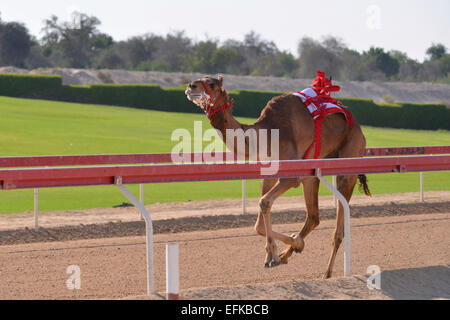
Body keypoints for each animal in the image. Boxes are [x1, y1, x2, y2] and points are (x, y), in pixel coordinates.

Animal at [185, 72, 370, 278]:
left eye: (211, 84)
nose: (191, 86)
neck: (266, 134)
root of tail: (360, 130)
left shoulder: (291, 176)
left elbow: (264, 202)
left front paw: (273, 255)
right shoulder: (270, 172)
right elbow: (258, 222)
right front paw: (285, 249)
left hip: (349, 160)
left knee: (338, 226)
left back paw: (327, 273)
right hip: (312, 173)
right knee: (313, 216)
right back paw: (289, 253)